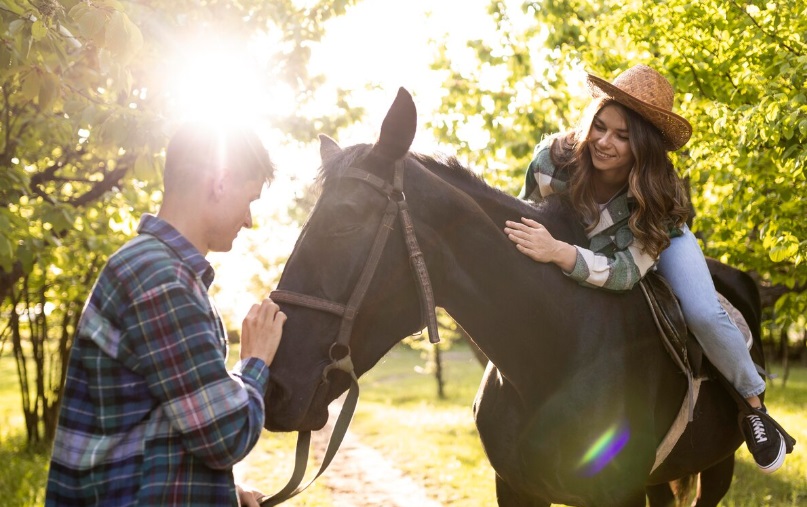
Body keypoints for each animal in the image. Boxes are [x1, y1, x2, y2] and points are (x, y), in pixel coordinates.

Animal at [266, 89, 764, 506]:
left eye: (347, 219)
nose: (274, 387)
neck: (551, 352)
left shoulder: (619, 494)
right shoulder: (515, 488)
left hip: (718, 466)